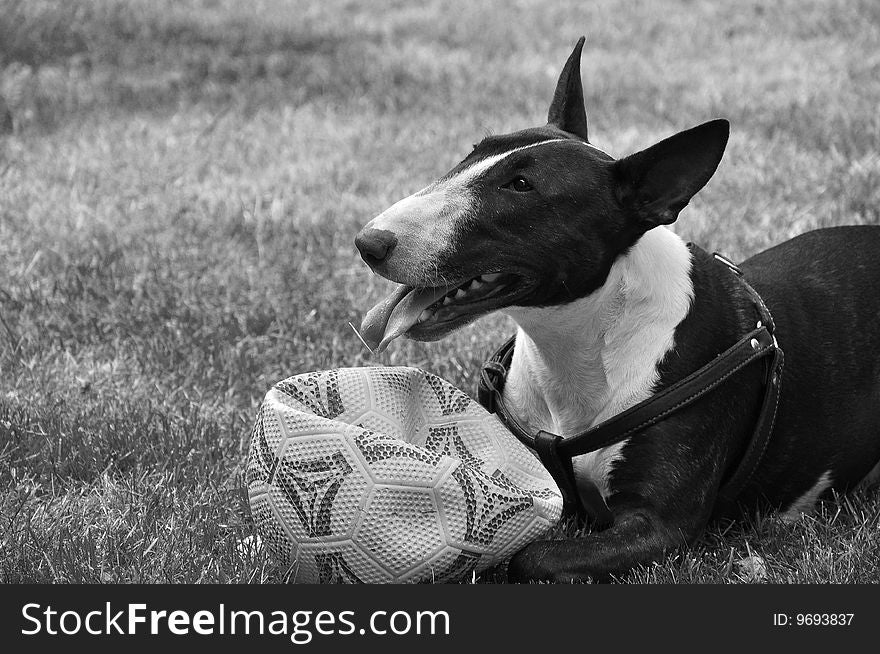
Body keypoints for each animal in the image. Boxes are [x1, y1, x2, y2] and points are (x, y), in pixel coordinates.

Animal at [352, 37, 880, 584]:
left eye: (521, 186)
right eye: (473, 153)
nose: (369, 243)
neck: (580, 345)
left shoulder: (660, 525)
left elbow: (530, 556)